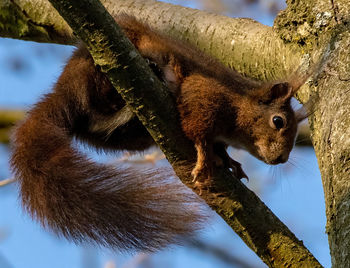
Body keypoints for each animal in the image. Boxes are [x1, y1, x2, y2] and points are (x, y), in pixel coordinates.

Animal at [9, 15, 308, 251]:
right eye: (278, 121)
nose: (281, 159)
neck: (239, 105)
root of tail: (61, 93)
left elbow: (220, 146)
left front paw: (228, 160)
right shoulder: (203, 92)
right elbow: (199, 130)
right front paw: (204, 157)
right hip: (93, 76)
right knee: (94, 106)